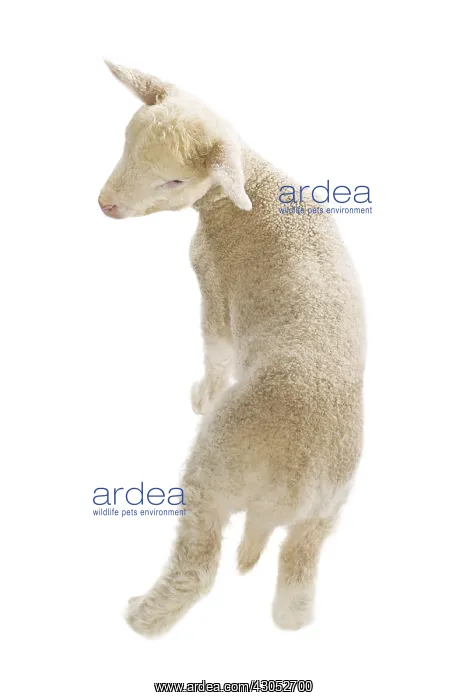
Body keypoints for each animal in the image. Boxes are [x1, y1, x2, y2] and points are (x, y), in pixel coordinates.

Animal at [99, 61, 366, 636]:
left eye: (174, 181)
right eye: (126, 143)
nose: (105, 204)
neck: (246, 187)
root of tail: (293, 484)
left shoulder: (214, 284)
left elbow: (215, 347)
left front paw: (204, 393)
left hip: (214, 475)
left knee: (196, 570)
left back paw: (140, 615)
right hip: (326, 513)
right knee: (296, 584)